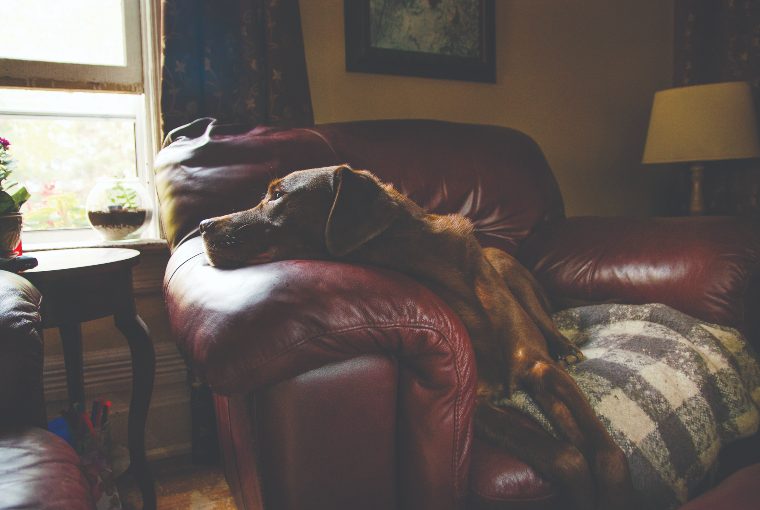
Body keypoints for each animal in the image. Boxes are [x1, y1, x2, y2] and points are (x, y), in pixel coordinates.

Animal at [197, 165, 636, 508]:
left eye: (277, 195)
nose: (202, 225)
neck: (431, 263)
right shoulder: (474, 401)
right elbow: (567, 457)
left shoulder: (538, 367)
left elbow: (610, 457)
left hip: (510, 268)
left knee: (547, 320)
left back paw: (566, 346)